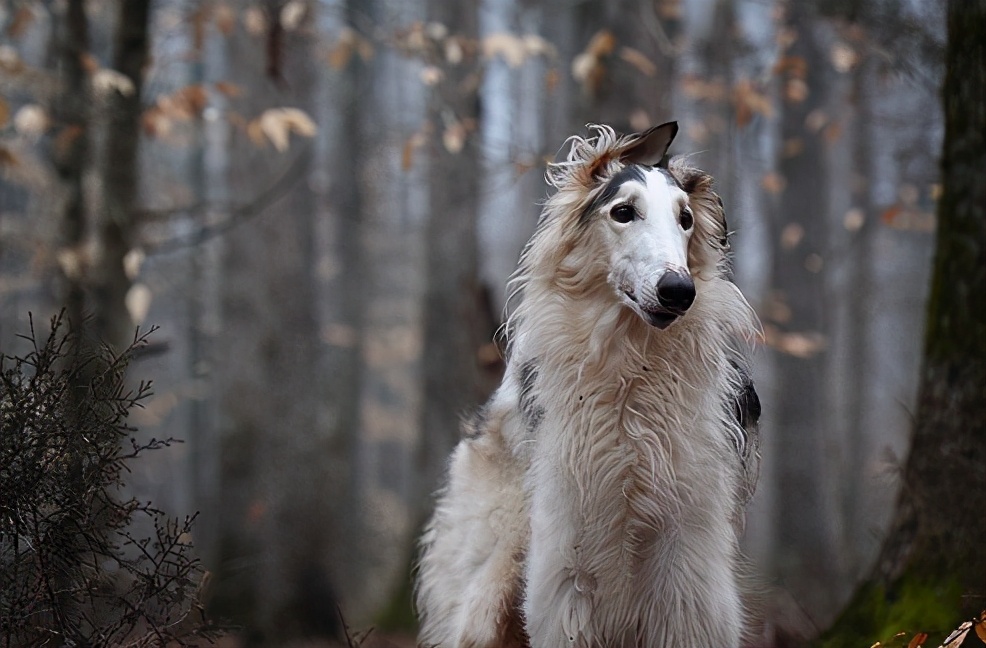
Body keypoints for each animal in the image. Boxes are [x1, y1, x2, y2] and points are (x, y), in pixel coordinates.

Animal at [416, 123, 760, 648]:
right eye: (623, 212)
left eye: (685, 219)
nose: (679, 292)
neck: (631, 376)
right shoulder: (567, 564)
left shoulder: (689, 564)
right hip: (490, 585)